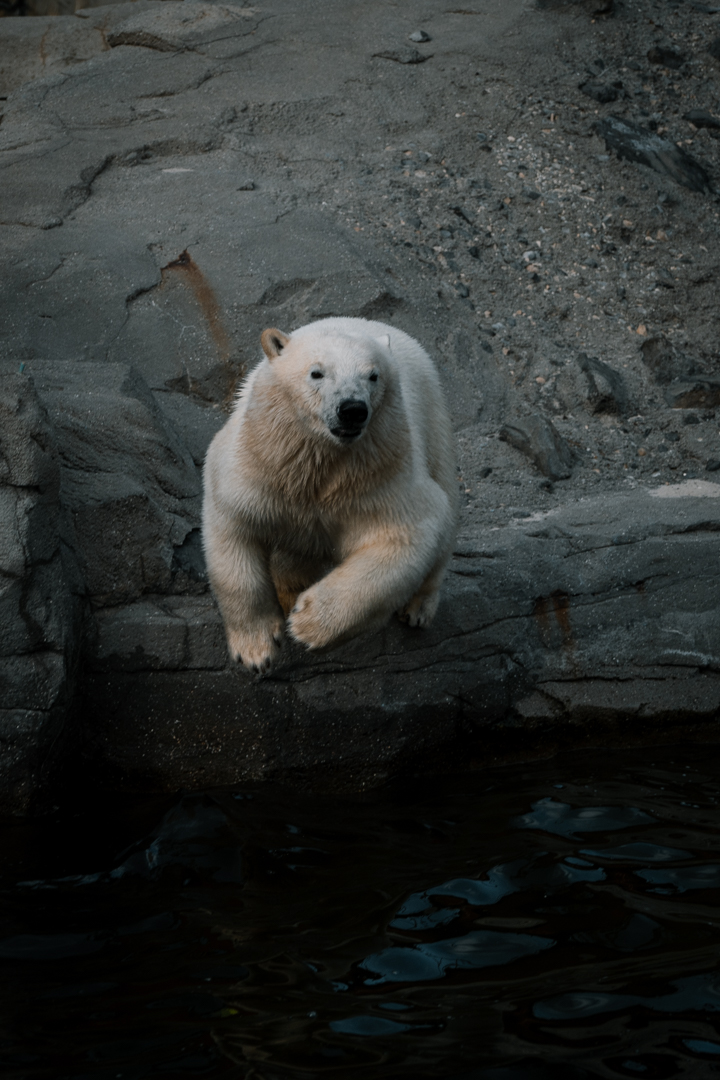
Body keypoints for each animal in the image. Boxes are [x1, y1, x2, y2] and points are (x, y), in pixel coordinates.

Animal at [202, 316, 458, 673]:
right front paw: (256, 651)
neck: (321, 463)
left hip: (433, 419)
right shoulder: (258, 465)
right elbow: (234, 534)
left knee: (446, 508)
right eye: (316, 373)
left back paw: (418, 608)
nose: (352, 409)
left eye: (373, 375)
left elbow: (406, 533)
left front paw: (308, 623)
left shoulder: (379, 474)